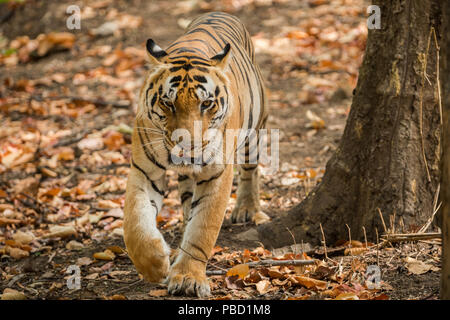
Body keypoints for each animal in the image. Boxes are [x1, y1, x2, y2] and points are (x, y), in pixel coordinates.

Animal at [124, 12, 268, 298]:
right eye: (168, 103)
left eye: (206, 103)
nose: (187, 145)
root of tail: (220, 12)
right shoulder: (144, 171)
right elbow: (135, 224)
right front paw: (156, 264)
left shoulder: (217, 174)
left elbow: (203, 228)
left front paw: (188, 278)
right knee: (187, 200)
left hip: (254, 130)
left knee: (250, 169)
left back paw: (246, 208)